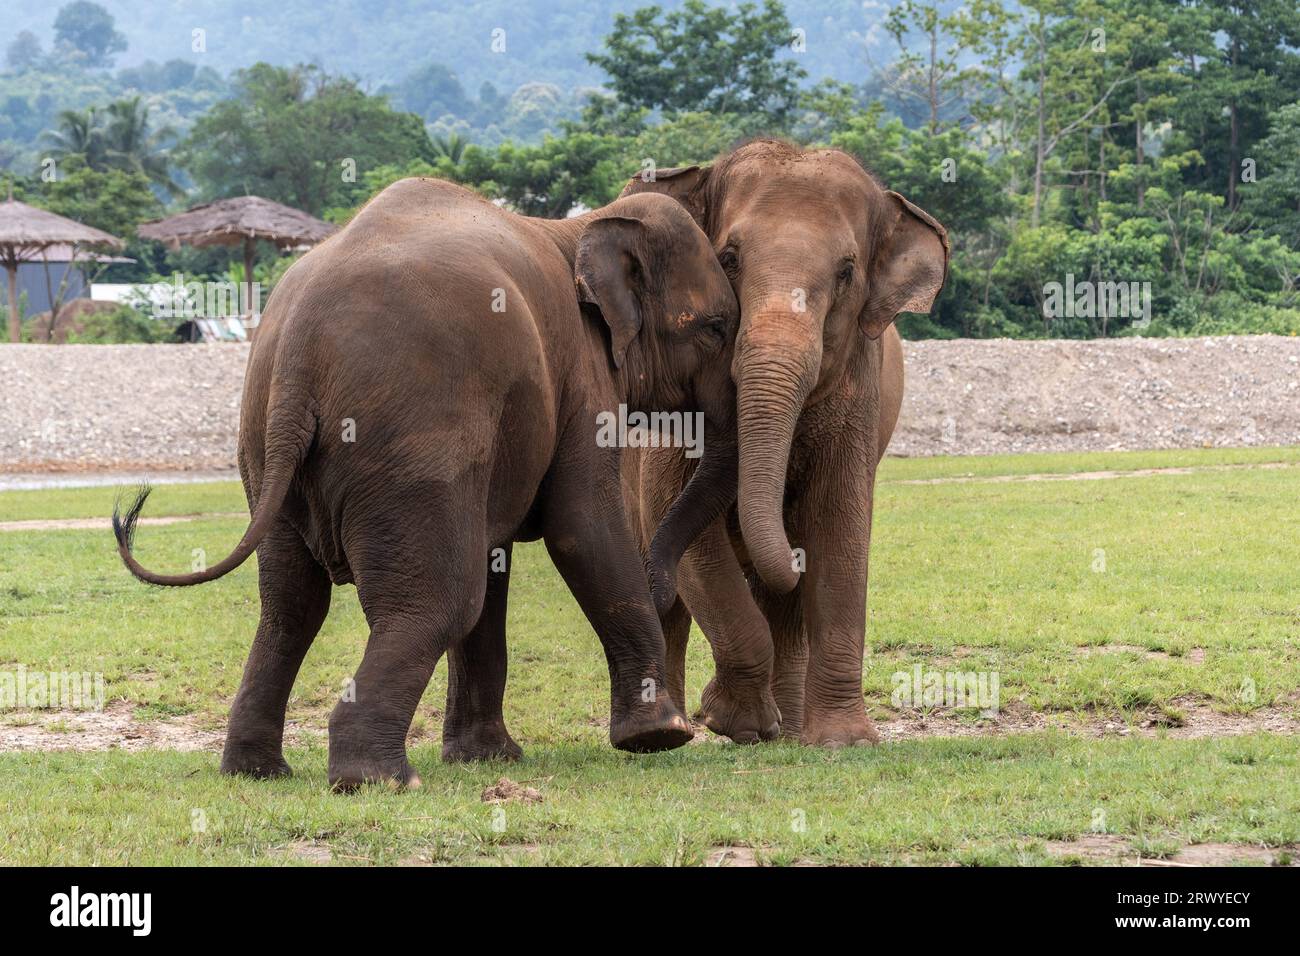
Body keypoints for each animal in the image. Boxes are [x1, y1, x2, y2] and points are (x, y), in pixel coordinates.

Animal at [119, 180, 759, 790]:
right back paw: (380, 779)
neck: (578, 228)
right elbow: (581, 529)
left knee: (291, 606)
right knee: (438, 600)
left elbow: (495, 560)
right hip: (413, 447)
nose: (661, 585)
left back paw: (258, 771)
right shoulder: (582, 374)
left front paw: (485, 757)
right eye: (715, 327)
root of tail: (301, 349)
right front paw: (660, 737)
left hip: (264, 448)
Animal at [618, 140, 946, 749]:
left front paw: (844, 741)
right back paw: (677, 729)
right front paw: (734, 722)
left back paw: (789, 730)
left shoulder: (858, 391)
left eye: (846, 272)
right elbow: (684, 530)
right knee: (670, 595)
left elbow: (840, 527)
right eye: (727, 258)